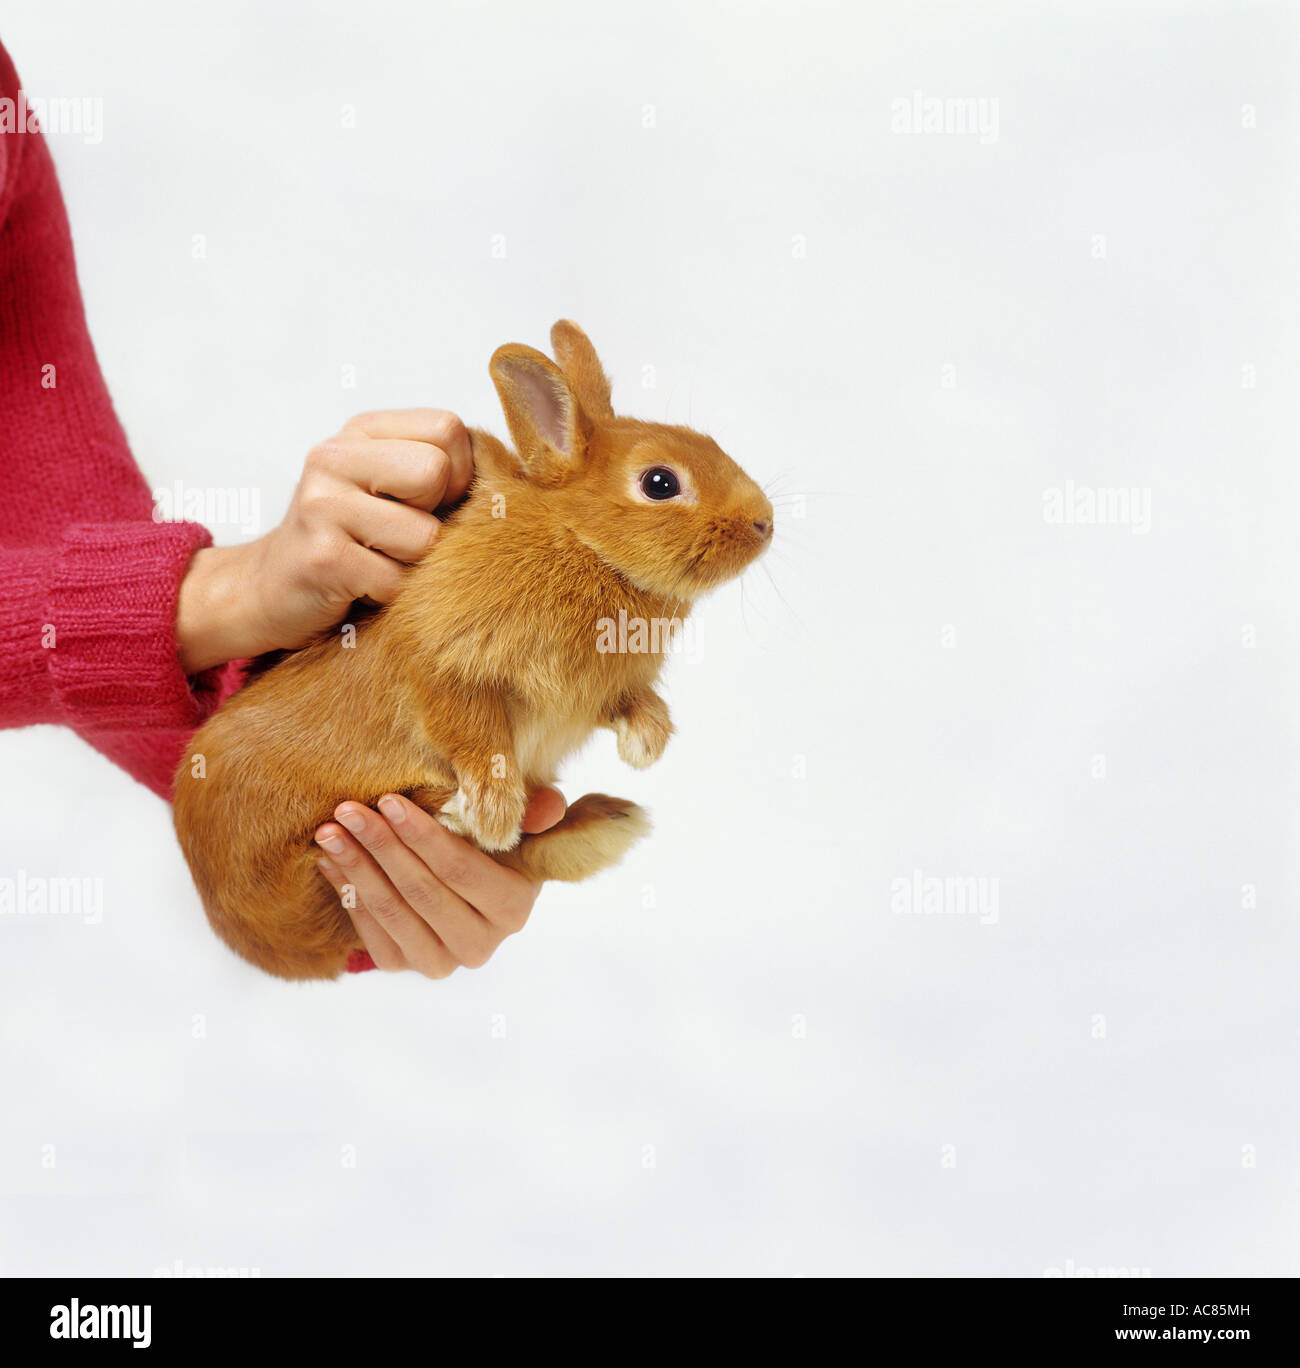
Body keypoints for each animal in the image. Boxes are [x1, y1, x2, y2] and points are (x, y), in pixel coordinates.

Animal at [172, 321, 774, 980]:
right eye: (660, 483)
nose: (765, 522)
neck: (581, 541)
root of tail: (269, 946)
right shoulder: (446, 667)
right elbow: (475, 736)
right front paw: (492, 811)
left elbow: (628, 702)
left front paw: (646, 744)